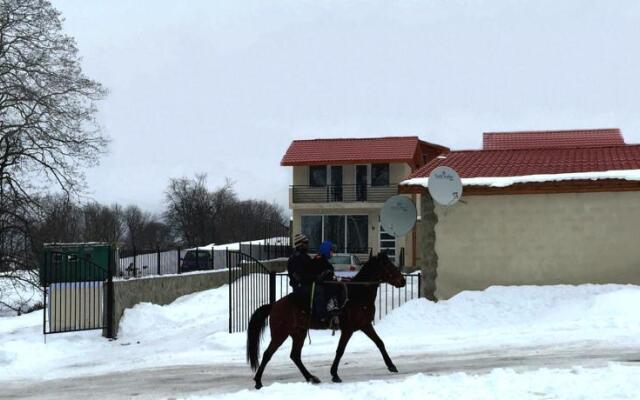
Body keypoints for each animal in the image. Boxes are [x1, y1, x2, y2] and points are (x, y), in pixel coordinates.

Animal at [245, 253, 404, 388]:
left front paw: (391, 365)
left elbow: (380, 343)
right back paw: (258, 381)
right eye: (389, 266)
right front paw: (334, 374)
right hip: (280, 334)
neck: (357, 294)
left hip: (299, 332)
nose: (403, 280)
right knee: (268, 354)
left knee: (295, 355)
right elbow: (340, 350)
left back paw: (311, 377)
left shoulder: (365, 325)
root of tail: (274, 305)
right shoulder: (348, 329)